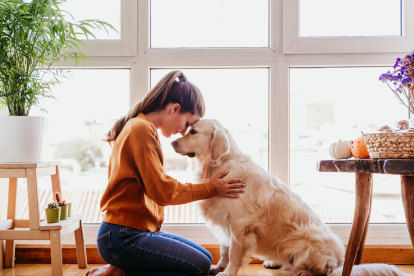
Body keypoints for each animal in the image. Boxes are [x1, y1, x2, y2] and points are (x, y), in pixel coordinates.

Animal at [171, 119, 408, 276]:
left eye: (193, 132)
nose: (172, 142)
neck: (220, 165)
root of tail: (341, 262)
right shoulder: (226, 221)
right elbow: (224, 249)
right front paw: (218, 267)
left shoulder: (240, 225)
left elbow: (235, 254)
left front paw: (227, 272)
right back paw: (276, 263)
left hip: (305, 243)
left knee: (322, 271)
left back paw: (301, 271)